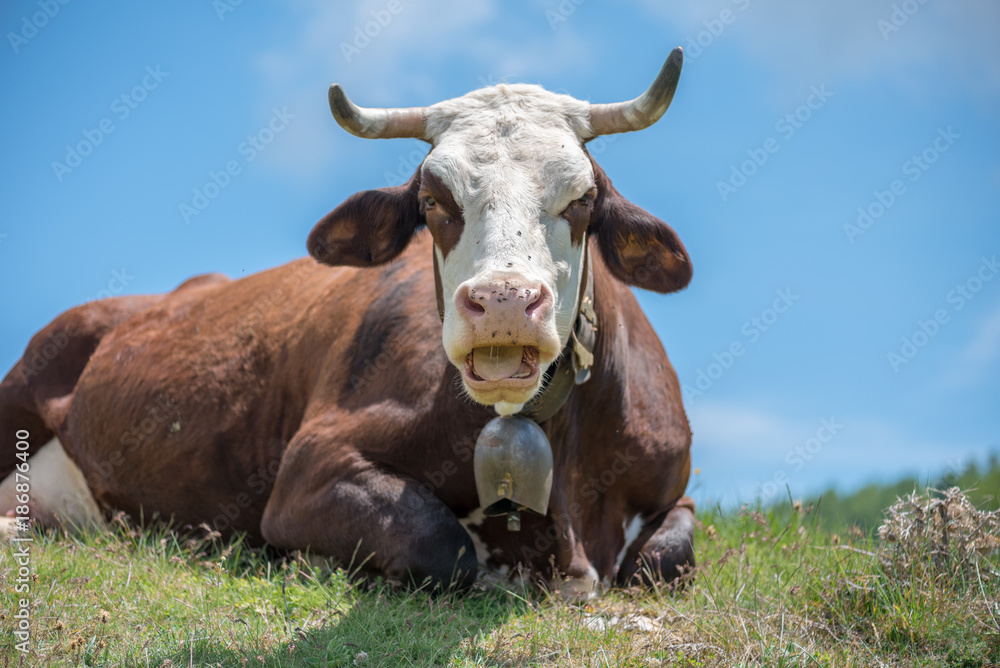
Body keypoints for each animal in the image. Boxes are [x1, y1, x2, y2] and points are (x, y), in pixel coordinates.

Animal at [0, 48, 695, 599]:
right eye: (432, 201)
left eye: (583, 199)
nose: (501, 300)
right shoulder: (311, 468)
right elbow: (439, 543)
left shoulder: (674, 489)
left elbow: (670, 555)